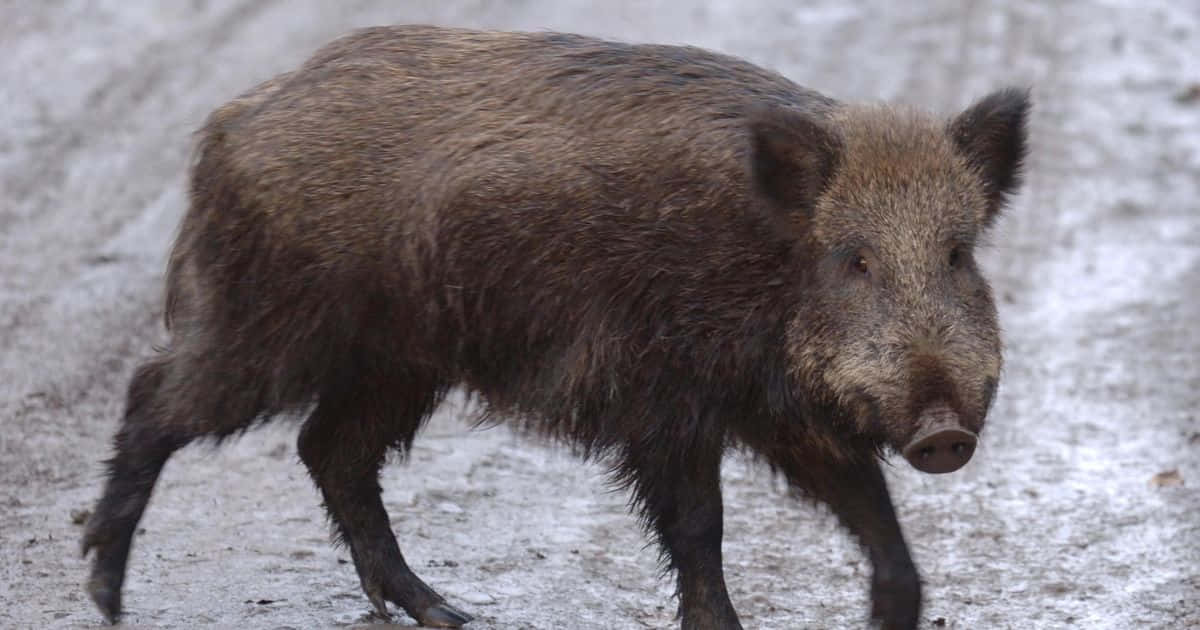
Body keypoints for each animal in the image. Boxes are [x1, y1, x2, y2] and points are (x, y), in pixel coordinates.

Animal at [81, 25, 1028, 630]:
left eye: (956, 252)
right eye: (854, 259)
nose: (943, 432)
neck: (764, 263)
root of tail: (229, 122)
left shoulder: (785, 414)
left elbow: (875, 518)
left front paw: (893, 611)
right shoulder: (664, 400)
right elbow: (699, 526)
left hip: (399, 361)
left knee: (330, 449)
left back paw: (446, 613)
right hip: (268, 323)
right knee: (153, 399)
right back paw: (107, 596)